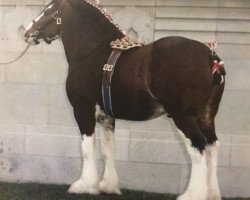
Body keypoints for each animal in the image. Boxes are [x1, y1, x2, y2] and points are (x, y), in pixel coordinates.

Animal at [23, 0, 226, 199]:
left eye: (47, 11)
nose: (27, 33)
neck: (93, 50)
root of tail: (210, 56)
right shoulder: (106, 117)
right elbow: (108, 149)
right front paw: (107, 185)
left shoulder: (83, 109)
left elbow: (87, 147)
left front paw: (85, 185)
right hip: (207, 117)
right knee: (212, 145)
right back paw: (212, 193)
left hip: (183, 116)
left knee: (198, 146)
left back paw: (192, 195)